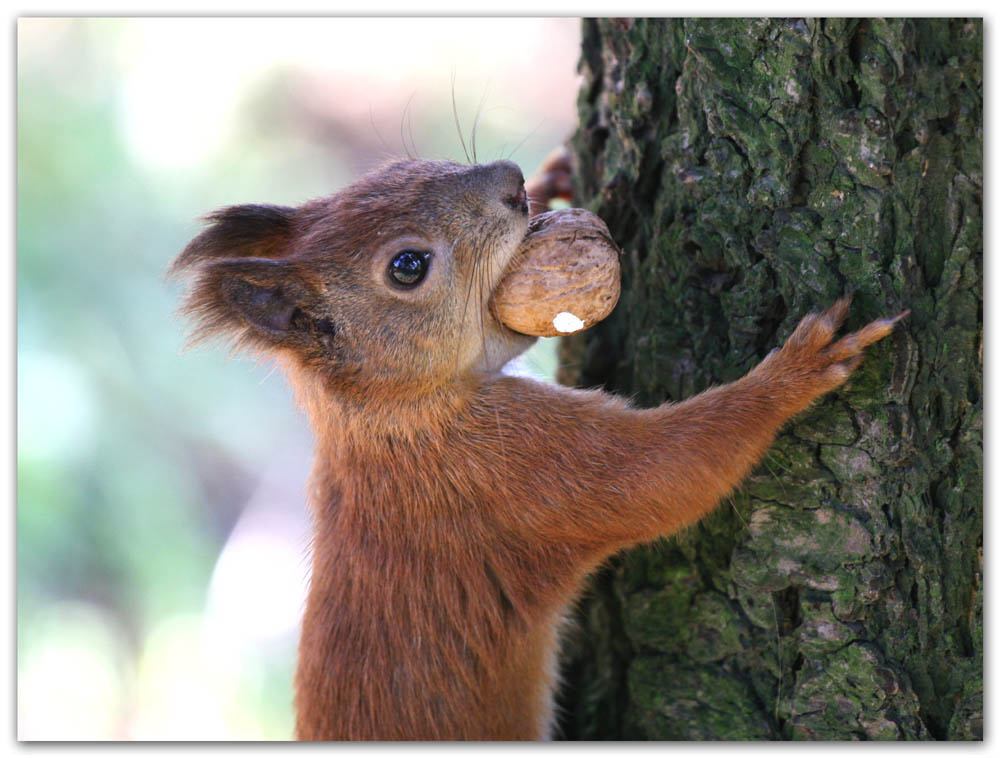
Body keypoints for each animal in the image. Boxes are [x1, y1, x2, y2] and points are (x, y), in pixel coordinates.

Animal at [170, 149, 905, 741]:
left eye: (396, 166)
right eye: (407, 266)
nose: (511, 181)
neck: (391, 416)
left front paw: (554, 175)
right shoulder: (512, 469)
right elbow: (658, 474)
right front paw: (795, 374)